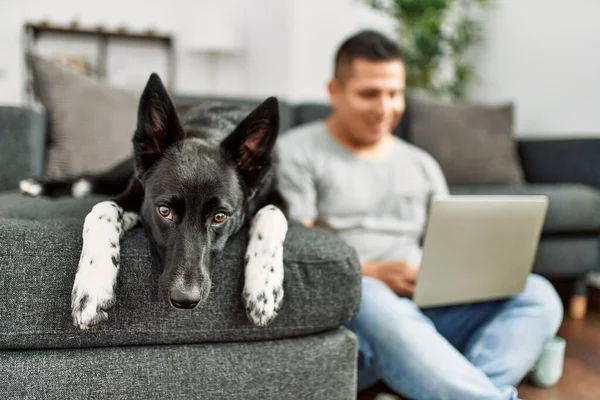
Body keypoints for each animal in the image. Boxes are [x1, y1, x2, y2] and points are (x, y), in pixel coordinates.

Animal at [25, 73, 290, 330]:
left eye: (219, 216)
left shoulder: (278, 198)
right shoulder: (135, 196)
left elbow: (273, 215)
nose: (185, 300)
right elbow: (101, 209)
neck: (206, 133)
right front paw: (93, 286)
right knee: (92, 179)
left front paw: (264, 288)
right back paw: (39, 185)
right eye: (164, 211)